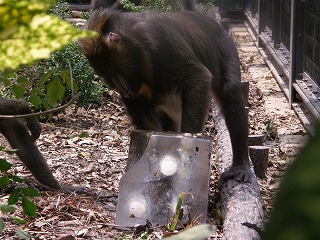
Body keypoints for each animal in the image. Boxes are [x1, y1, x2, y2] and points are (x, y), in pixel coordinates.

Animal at [78, 0, 255, 185]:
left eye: (117, 73)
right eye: (110, 79)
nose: (123, 88)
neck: (135, 40)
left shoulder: (159, 47)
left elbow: (198, 77)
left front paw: (187, 147)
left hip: (226, 47)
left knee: (229, 91)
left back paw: (241, 166)